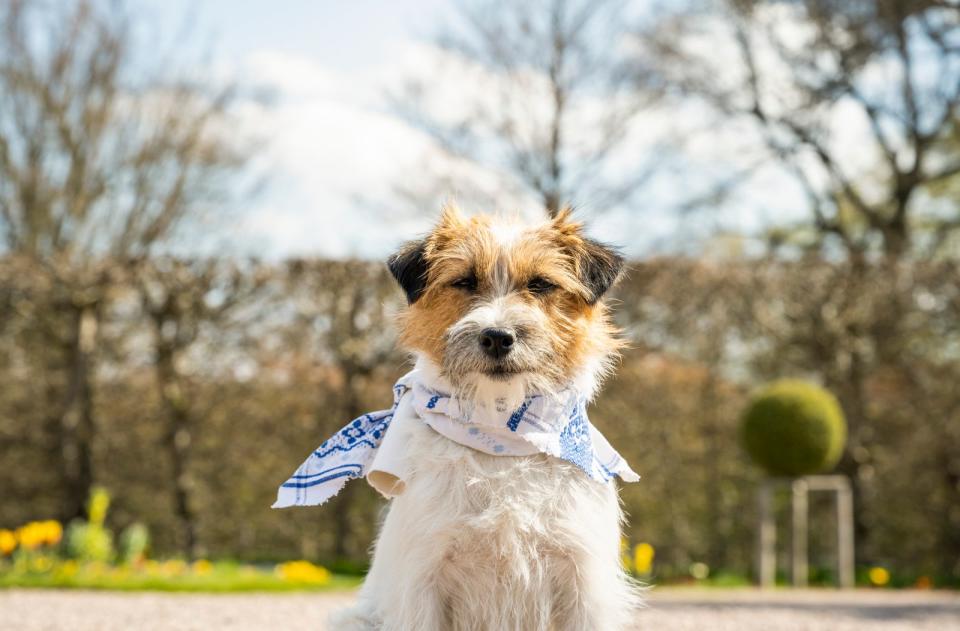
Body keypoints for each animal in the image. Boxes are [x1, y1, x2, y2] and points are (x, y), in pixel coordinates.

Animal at [334, 207, 640, 631]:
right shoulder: (422, 581)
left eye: (540, 284)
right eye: (464, 281)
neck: (501, 437)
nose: (497, 336)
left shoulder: (584, 585)